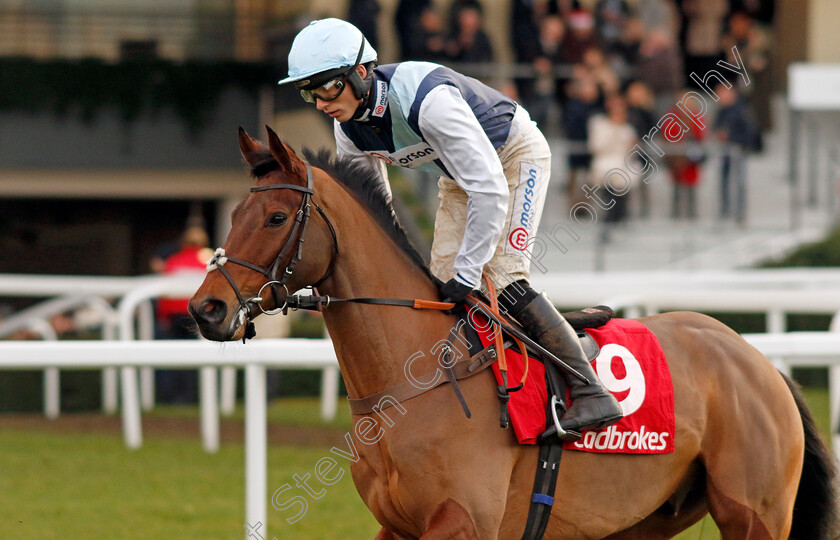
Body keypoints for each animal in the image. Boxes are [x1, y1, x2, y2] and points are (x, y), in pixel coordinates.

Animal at [187, 127, 836, 540]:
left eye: (275, 218)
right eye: (232, 215)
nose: (206, 309)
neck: (411, 386)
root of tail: (758, 361)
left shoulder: (461, 521)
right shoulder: (397, 526)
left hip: (754, 514)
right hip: (642, 521)